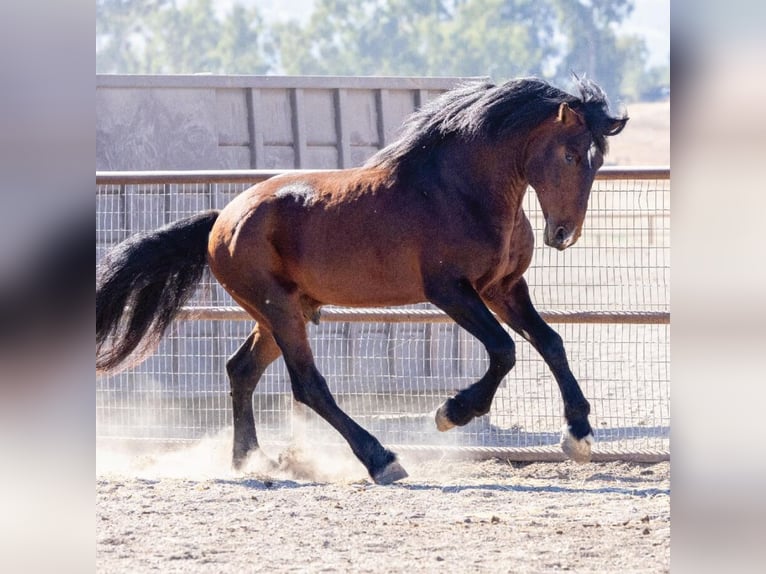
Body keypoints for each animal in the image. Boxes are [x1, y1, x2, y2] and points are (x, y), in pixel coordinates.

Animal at [96, 77, 628, 486]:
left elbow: (550, 342)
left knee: (241, 370)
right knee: (308, 386)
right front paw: (450, 412)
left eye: (598, 160)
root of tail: (220, 221)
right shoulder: (451, 291)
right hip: (279, 310)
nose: (563, 234)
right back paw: (381, 460)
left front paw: (579, 435)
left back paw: (250, 461)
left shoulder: (504, 289)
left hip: (281, 311)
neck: (462, 191)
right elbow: (505, 350)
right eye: (569, 156)